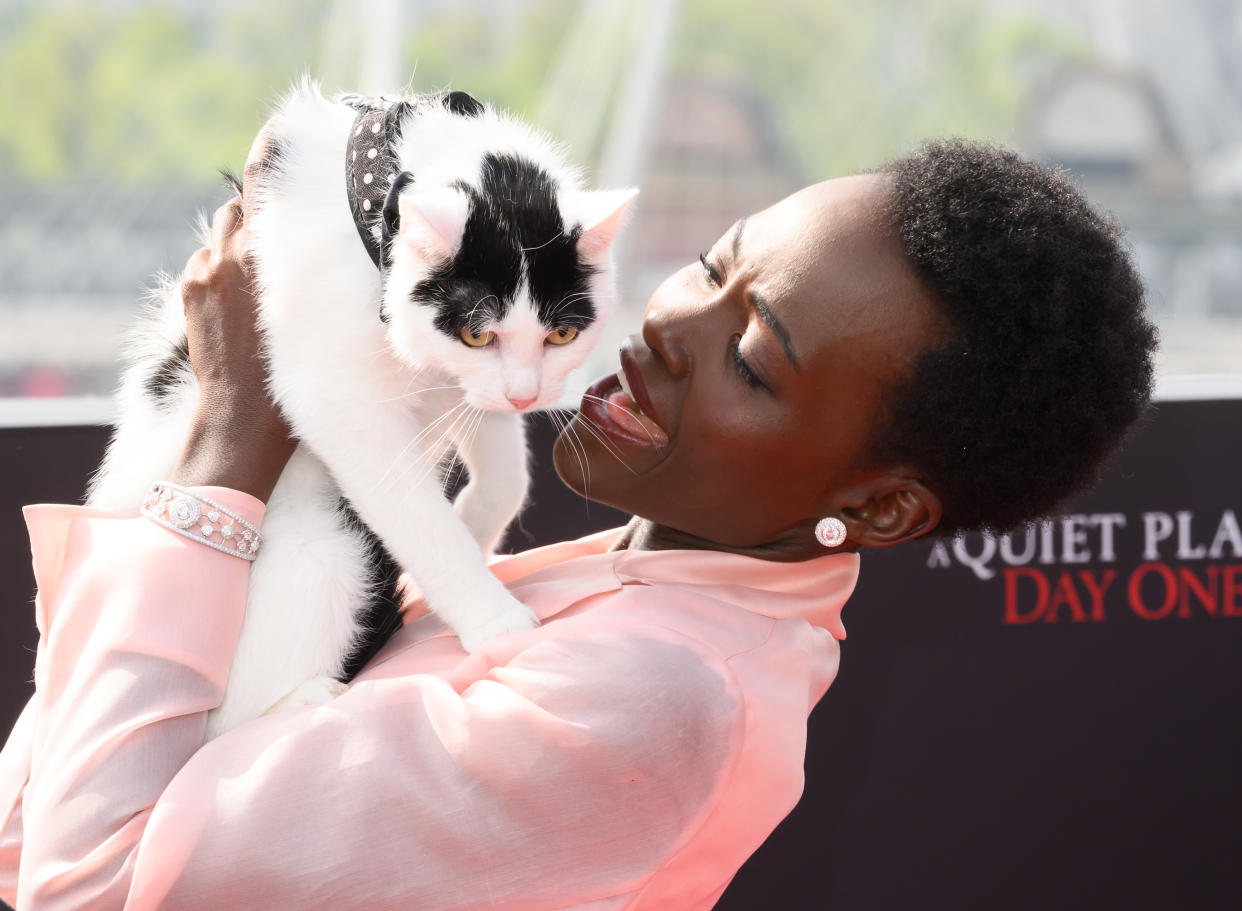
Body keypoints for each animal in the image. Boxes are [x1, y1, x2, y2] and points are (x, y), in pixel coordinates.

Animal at [88, 80, 635, 740]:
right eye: (478, 333)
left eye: (562, 335)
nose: (528, 396)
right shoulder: (337, 399)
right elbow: (421, 519)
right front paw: (493, 619)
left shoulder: (462, 383)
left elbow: (504, 467)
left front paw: (477, 527)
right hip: (326, 549)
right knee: (212, 724)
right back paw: (304, 700)